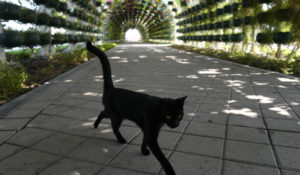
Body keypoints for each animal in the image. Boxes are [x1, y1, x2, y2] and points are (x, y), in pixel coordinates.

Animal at [85, 41, 186, 175]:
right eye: (168, 115)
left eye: (179, 115)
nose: (175, 124)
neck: (157, 113)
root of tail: (111, 88)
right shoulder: (151, 134)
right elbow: (162, 158)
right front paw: (170, 171)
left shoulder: (148, 129)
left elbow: (144, 140)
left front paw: (143, 151)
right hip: (117, 116)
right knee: (114, 127)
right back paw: (120, 139)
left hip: (114, 113)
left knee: (102, 112)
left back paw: (95, 124)